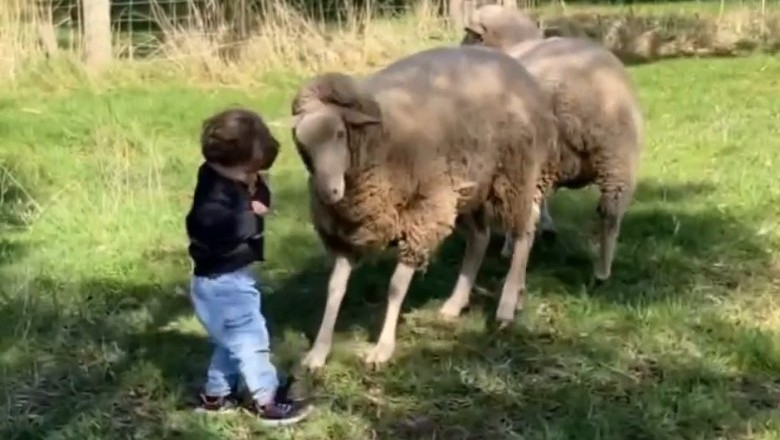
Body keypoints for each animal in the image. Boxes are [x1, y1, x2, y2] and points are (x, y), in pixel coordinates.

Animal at [290, 44, 556, 370]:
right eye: (302, 144)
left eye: (340, 133)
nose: (329, 193)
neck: (383, 137)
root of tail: (513, 65)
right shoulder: (348, 234)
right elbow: (334, 289)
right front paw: (318, 352)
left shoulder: (422, 217)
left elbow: (395, 287)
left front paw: (382, 348)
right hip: (465, 188)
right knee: (479, 238)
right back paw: (456, 303)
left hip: (515, 175)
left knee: (524, 230)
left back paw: (507, 303)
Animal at [460, 6, 644, 288]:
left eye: (470, 35)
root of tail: (570, 93)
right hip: (619, 158)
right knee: (611, 211)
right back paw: (602, 273)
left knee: (528, 215)